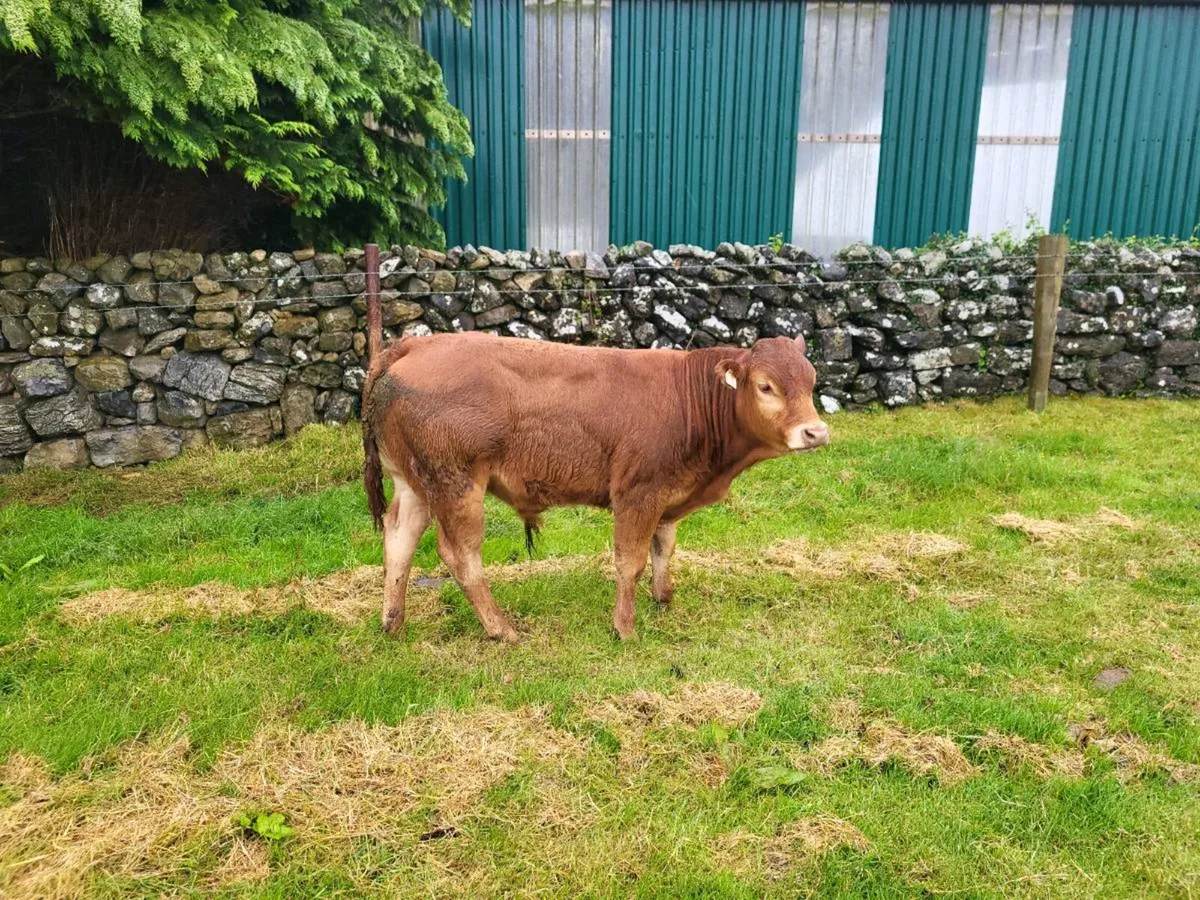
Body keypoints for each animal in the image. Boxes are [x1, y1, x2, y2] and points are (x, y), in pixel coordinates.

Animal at [361, 323, 830, 643]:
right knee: (460, 555)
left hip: (414, 483)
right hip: (455, 484)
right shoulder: (638, 494)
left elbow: (664, 550)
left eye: (811, 382)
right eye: (766, 386)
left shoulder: (667, 495)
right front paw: (625, 628)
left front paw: (664, 600)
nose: (816, 432)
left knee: (399, 540)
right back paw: (501, 629)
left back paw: (393, 622)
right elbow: (631, 562)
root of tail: (415, 344)